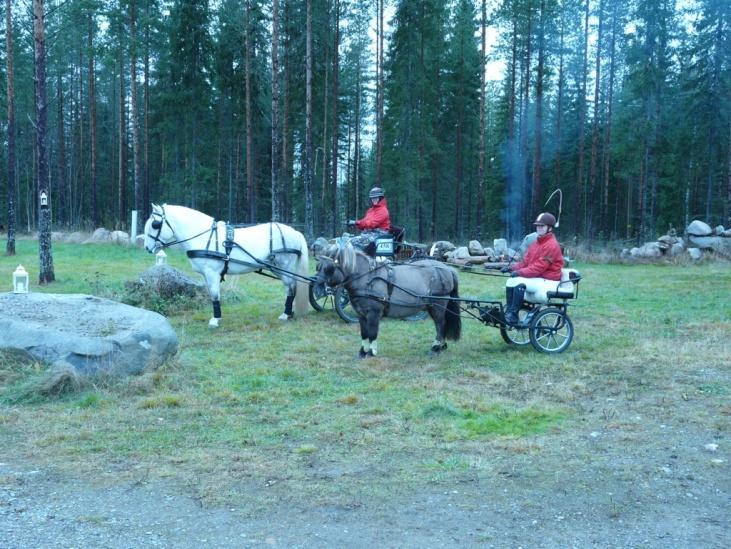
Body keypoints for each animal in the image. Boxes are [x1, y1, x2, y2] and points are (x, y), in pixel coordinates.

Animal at [144, 204, 312, 326]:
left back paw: (286, 314)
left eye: (155, 224)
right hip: (277, 268)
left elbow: (214, 294)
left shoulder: (212, 273)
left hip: (284, 265)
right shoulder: (206, 275)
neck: (205, 237)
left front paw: (215, 319)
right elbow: (212, 294)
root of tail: (295, 232)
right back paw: (289, 313)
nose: (147, 248)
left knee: (291, 287)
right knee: (290, 287)